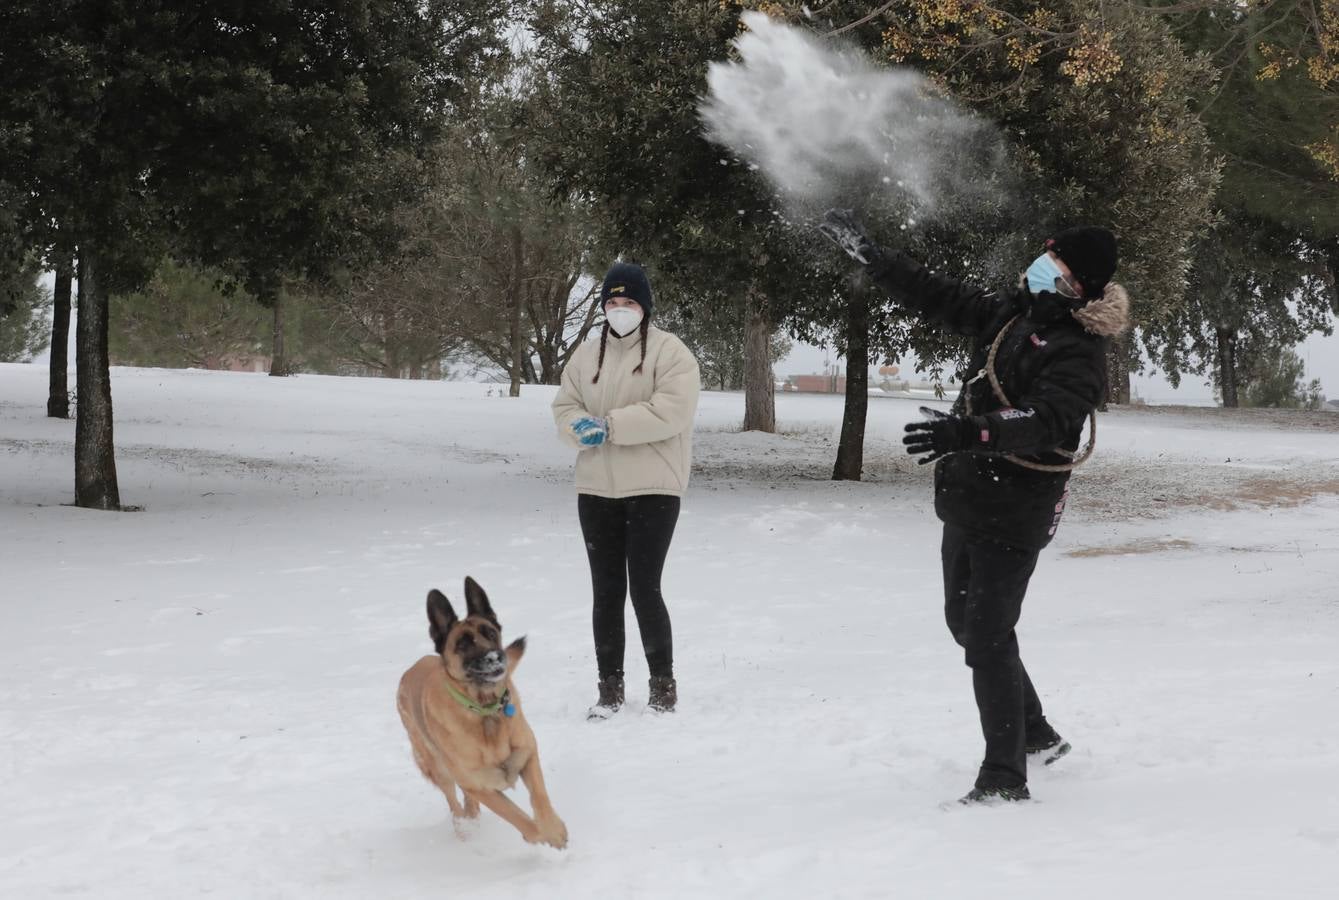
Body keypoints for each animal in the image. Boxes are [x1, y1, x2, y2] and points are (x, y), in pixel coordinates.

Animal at [393, 581, 567, 846]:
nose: (496, 657)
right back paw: (464, 831)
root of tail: (410, 670)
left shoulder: (527, 753)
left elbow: (539, 797)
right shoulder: (478, 784)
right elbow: (517, 816)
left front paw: (553, 829)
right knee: (454, 803)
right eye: (463, 644)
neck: (485, 711)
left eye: (491, 633)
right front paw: (540, 835)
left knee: (468, 804)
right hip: (437, 768)